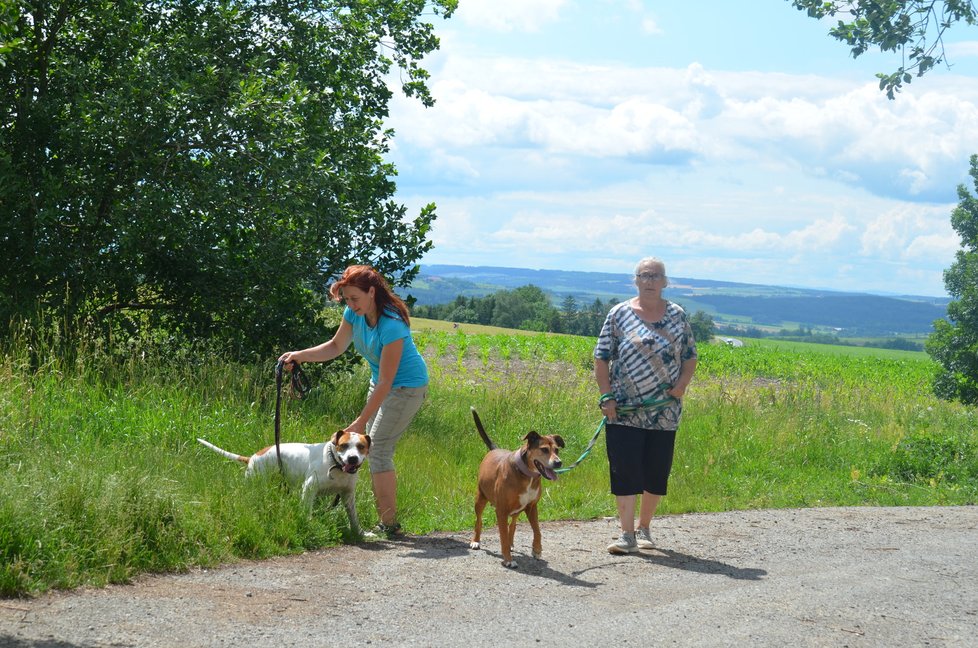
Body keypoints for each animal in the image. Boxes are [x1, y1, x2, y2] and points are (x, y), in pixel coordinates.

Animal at [196, 430, 372, 536]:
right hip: (254, 484)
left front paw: (361, 533)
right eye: (343, 445)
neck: (336, 465)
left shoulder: (348, 495)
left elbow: (354, 517)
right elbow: (307, 512)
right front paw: (309, 526)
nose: (352, 458)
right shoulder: (309, 489)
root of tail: (253, 457)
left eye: (361, 446)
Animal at [468, 408, 560, 568]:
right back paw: (475, 541)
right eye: (544, 449)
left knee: (513, 525)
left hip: (517, 508)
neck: (527, 474)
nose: (558, 463)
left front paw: (537, 550)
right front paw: (508, 560)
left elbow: (537, 530)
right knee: (479, 520)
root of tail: (494, 449)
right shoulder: (501, 510)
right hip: (480, 499)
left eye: (557, 450)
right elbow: (503, 537)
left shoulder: (531, 507)